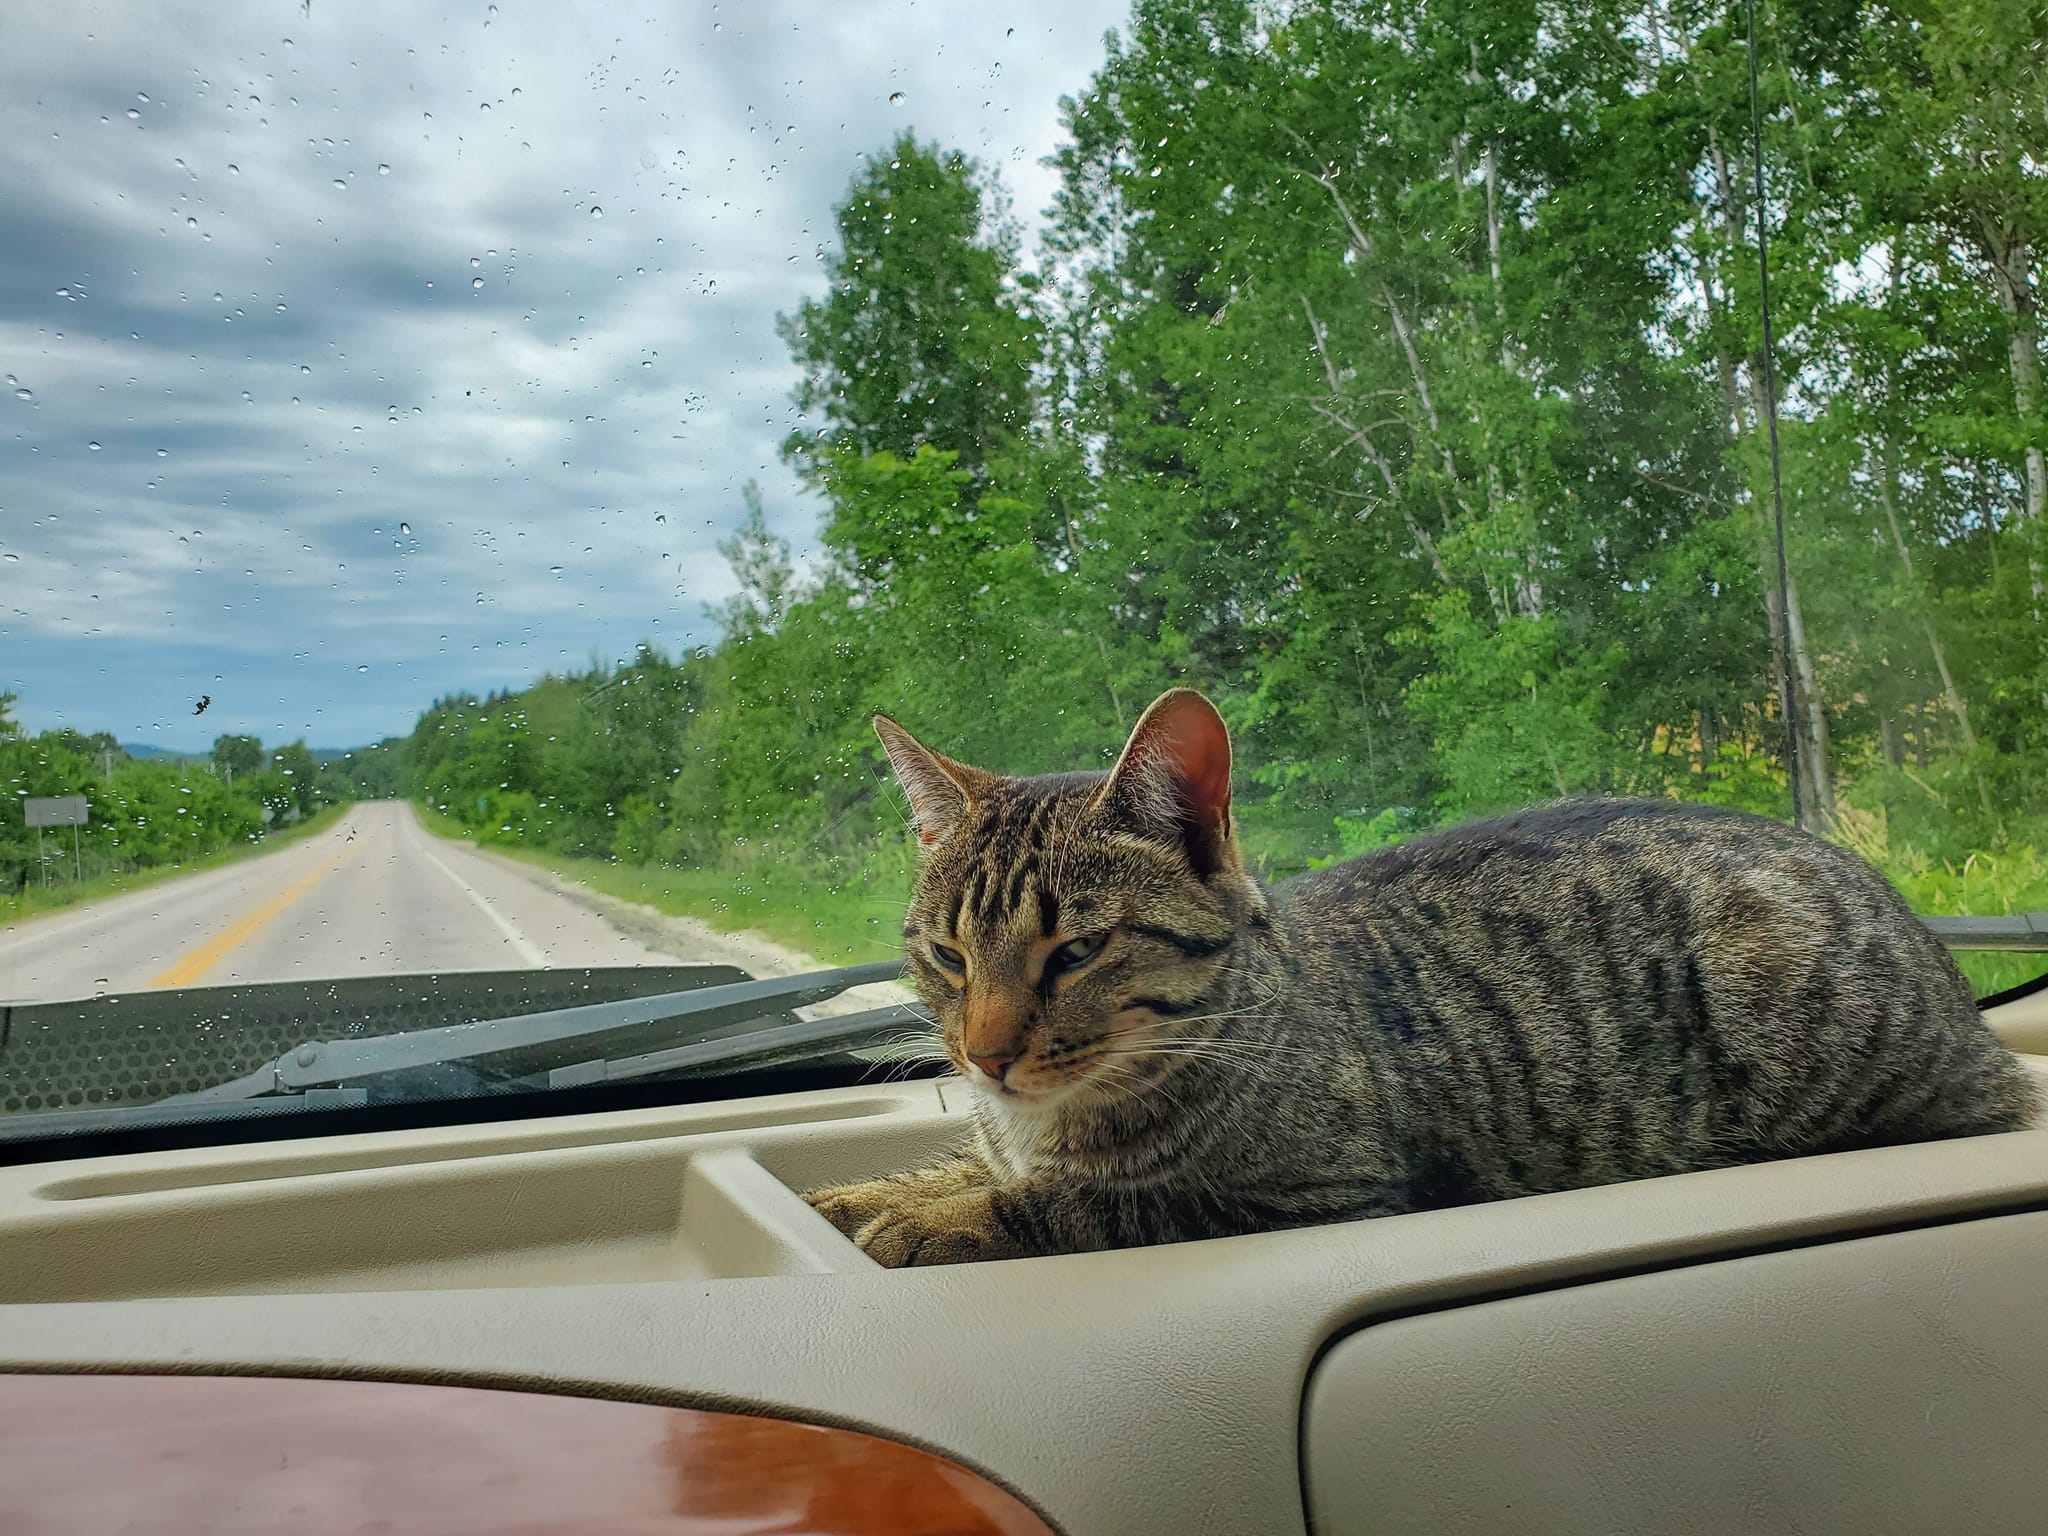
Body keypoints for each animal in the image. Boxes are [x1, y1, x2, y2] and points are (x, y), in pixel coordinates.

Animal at [804, 688, 2039, 1267]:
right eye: (946, 955)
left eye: (1074, 951)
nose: (982, 1054)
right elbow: (945, 1162)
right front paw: (852, 1197)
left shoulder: (1312, 1190)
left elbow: (1080, 1203)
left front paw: (933, 1222)